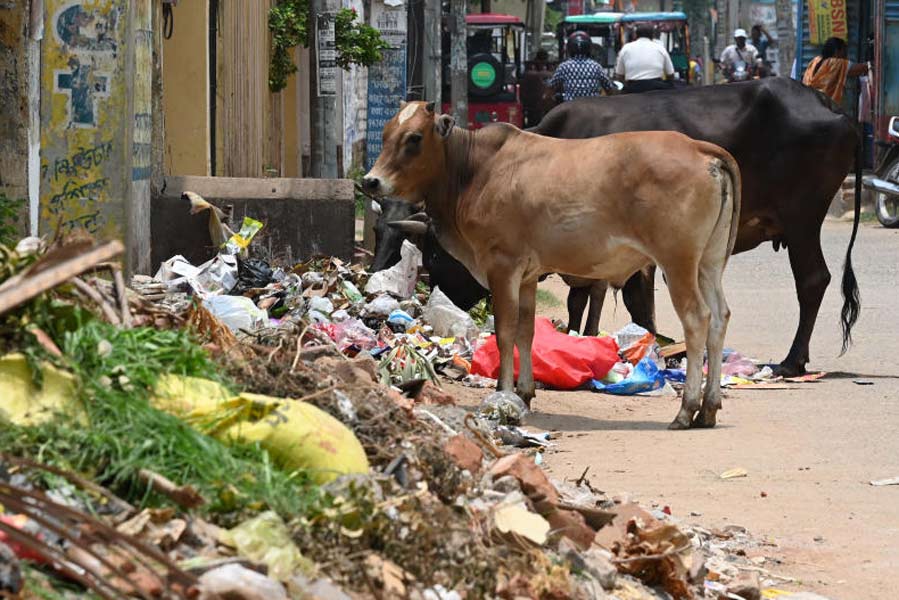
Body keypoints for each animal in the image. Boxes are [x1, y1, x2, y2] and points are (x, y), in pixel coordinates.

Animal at [362, 102, 740, 426]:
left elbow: (505, 333)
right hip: (708, 263)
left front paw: (503, 392)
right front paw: (524, 394)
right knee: (720, 316)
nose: (370, 181)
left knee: (697, 319)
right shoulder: (528, 276)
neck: (474, 170)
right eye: (386, 133)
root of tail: (699, 148)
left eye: (414, 138)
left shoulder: (503, 266)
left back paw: (686, 410)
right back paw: (709, 408)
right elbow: (526, 333)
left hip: (678, 263)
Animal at [532, 76, 860, 376]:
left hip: (802, 220)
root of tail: (826, 102)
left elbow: (624, 299)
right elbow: (587, 300)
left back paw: (792, 361)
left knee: (812, 280)